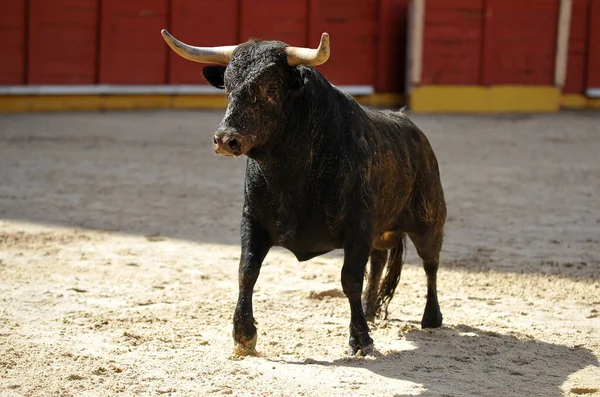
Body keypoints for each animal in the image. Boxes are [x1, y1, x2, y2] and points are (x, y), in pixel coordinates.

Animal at [159, 29, 446, 354]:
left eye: (271, 88)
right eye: (227, 88)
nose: (225, 139)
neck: (291, 171)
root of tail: (411, 127)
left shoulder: (358, 225)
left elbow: (350, 279)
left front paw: (361, 339)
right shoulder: (253, 220)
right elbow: (247, 271)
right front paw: (244, 335)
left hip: (429, 219)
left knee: (430, 263)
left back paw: (431, 318)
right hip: (382, 228)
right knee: (379, 259)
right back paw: (371, 310)